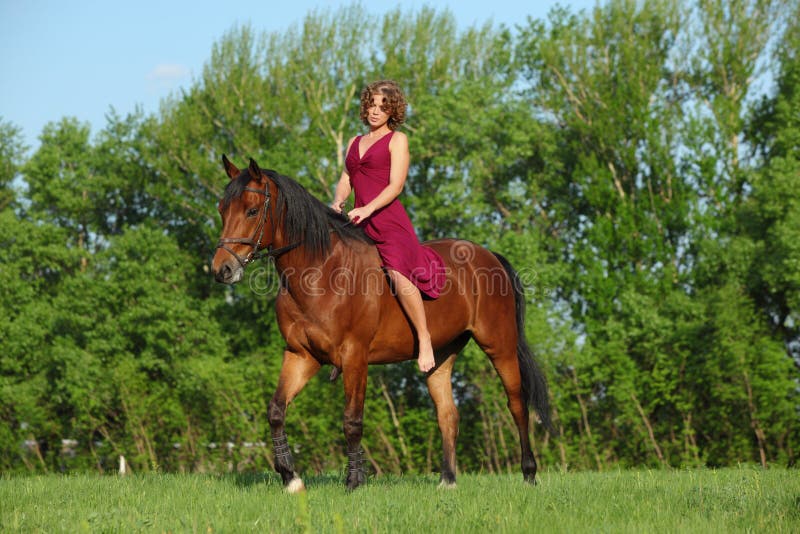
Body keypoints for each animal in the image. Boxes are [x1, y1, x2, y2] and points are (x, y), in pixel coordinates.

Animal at [209, 157, 552, 492]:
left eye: (252, 210)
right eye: (222, 209)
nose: (221, 270)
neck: (320, 272)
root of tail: (489, 256)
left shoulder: (355, 357)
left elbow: (352, 420)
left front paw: (354, 481)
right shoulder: (300, 356)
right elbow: (276, 411)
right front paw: (290, 477)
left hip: (500, 346)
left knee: (517, 404)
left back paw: (529, 474)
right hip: (442, 355)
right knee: (448, 414)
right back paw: (447, 481)